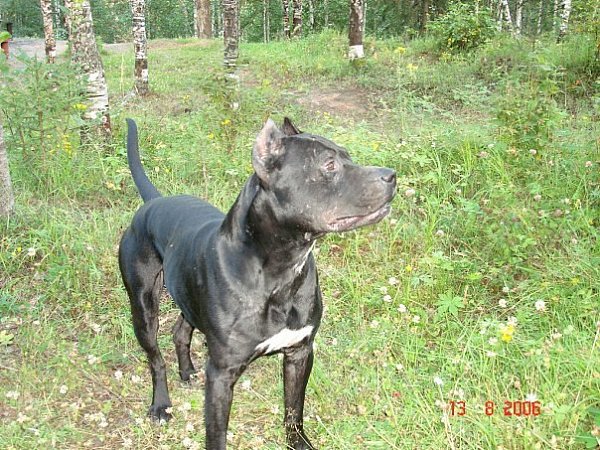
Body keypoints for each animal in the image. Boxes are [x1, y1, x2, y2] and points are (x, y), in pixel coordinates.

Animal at [118, 118, 396, 449]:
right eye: (329, 165)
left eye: (348, 156)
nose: (391, 175)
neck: (281, 272)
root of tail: (155, 201)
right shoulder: (222, 375)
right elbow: (217, 434)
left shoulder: (300, 353)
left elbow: (294, 410)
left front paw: (297, 443)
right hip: (143, 308)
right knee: (155, 359)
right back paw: (161, 404)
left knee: (180, 330)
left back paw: (186, 370)